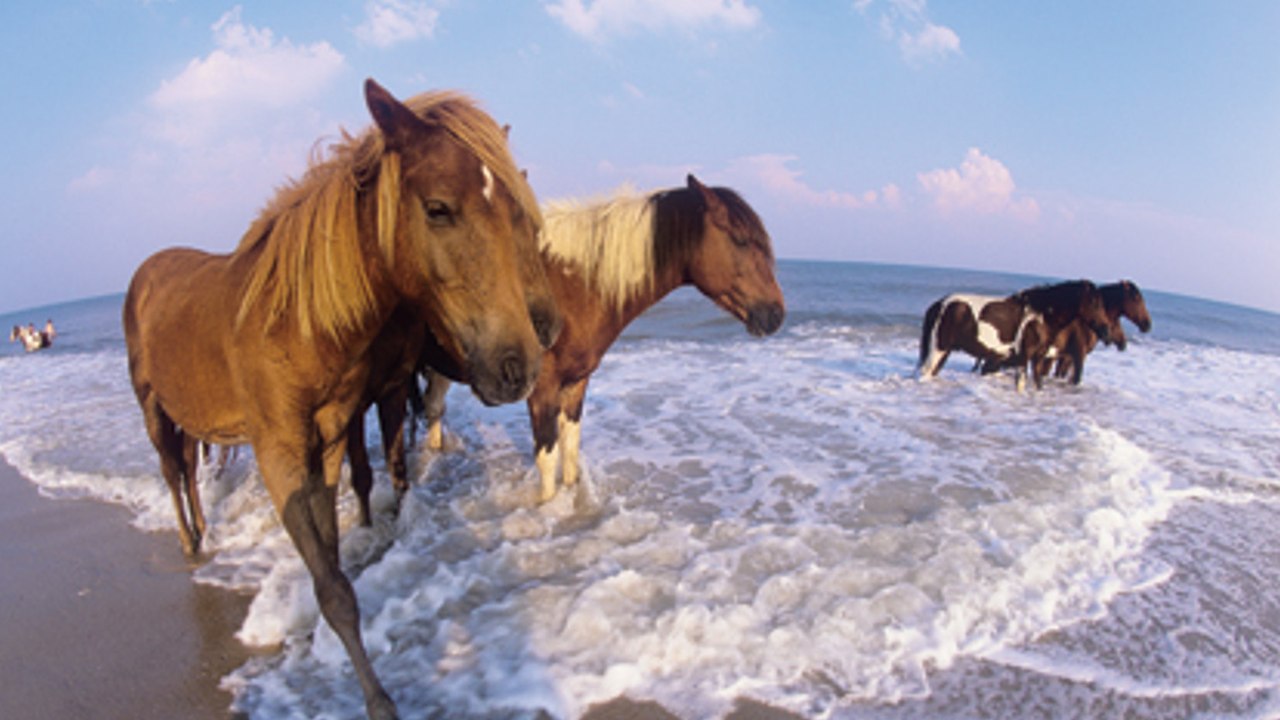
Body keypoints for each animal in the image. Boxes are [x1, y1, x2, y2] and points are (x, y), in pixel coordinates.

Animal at [122, 79, 551, 720]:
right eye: (438, 209)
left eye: (516, 214)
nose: (518, 365)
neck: (293, 324)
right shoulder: (279, 455)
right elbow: (333, 584)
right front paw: (377, 700)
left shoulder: (324, 444)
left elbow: (334, 557)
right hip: (152, 407)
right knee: (173, 472)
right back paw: (188, 540)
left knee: (192, 475)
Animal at [388, 175, 786, 504]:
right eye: (741, 240)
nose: (776, 315)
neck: (570, 287)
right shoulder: (542, 390)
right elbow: (547, 459)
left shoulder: (575, 384)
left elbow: (570, 451)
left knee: (434, 409)